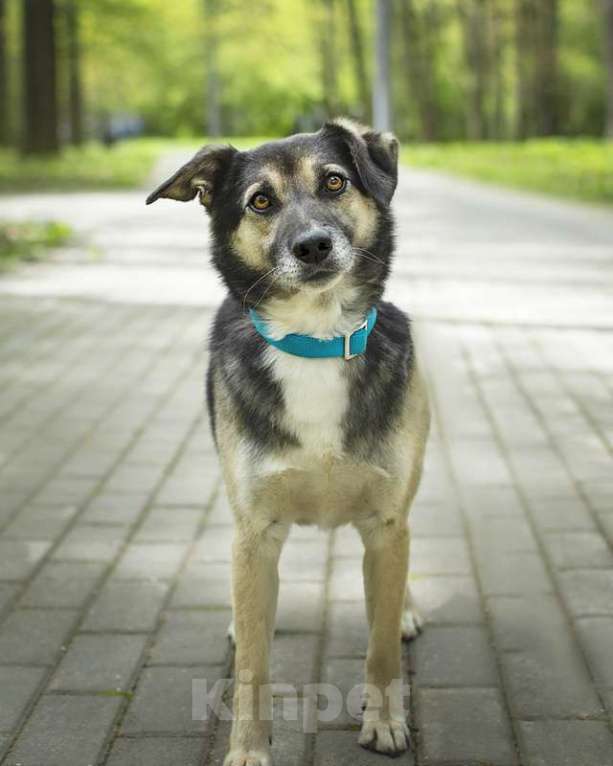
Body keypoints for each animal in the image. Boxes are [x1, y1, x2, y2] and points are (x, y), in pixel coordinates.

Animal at [146, 121, 428, 766]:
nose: (314, 246)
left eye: (335, 182)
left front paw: (384, 722)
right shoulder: (255, 533)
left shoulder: (386, 523)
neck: (316, 338)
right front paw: (248, 751)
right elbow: (253, 665)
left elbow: (379, 646)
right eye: (260, 201)